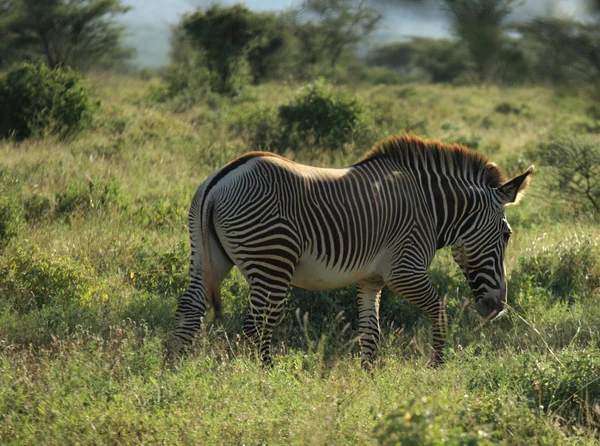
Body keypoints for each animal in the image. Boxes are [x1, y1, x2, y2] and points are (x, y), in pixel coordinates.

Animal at [171, 134, 532, 368]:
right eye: (507, 234)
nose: (497, 308)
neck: (430, 206)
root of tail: (221, 180)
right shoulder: (404, 270)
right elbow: (439, 310)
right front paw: (437, 366)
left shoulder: (371, 278)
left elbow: (370, 333)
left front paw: (369, 377)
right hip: (272, 261)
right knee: (255, 325)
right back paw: (263, 377)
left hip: (207, 256)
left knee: (189, 309)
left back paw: (174, 372)